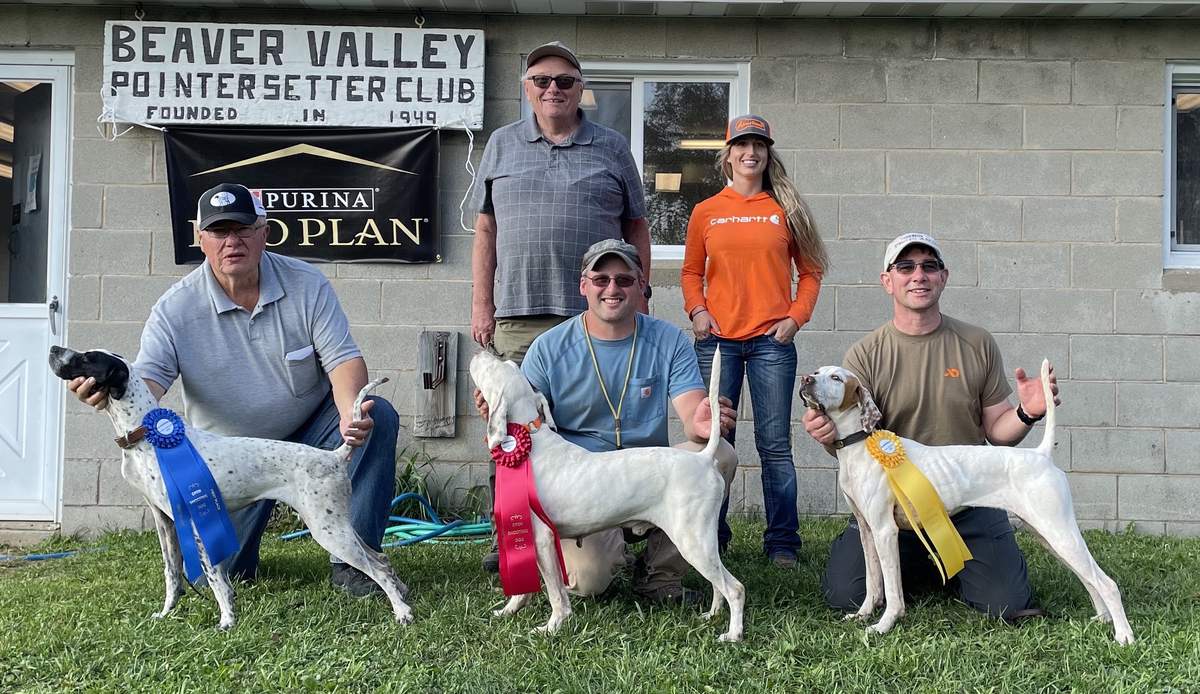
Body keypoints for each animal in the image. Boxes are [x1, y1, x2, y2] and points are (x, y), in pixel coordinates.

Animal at [48, 343, 412, 624]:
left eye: (87, 358)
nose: (53, 349)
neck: (147, 434)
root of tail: (335, 457)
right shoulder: (165, 521)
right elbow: (172, 574)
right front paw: (166, 614)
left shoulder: (193, 522)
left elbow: (213, 578)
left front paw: (226, 621)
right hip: (336, 526)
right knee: (381, 560)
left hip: (328, 530)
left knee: (377, 568)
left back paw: (402, 613)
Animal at [465, 348, 739, 638]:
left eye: (494, 368)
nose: (482, 351)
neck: (531, 445)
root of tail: (704, 458)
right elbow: (524, 589)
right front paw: (508, 611)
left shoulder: (542, 540)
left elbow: (556, 593)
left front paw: (552, 627)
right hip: (702, 542)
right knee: (719, 585)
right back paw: (711, 615)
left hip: (692, 540)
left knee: (735, 588)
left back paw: (733, 635)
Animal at [796, 362, 1132, 643]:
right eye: (818, 371)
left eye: (837, 378)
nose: (806, 379)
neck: (861, 446)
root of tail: (1041, 454)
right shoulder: (867, 531)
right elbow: (872, 583)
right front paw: (863, 614)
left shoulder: (884, 531)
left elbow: (892, 590)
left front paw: (884, 625)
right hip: (1050, 536)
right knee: (1089, 579)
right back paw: (1102, 620)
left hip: (1059, 532)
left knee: (1107, 583)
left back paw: (1123, 635)